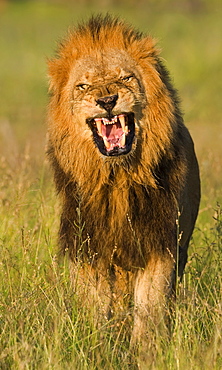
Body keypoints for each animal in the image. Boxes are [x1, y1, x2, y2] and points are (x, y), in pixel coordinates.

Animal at [46, 14, 199, 350]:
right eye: (84, 85)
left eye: (126, 79)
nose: (106, 100)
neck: (117, 177)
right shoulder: (87, 247)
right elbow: (94, 308)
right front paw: (97, 348)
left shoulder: (160, 243)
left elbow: (149, 307)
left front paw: (146, 351)